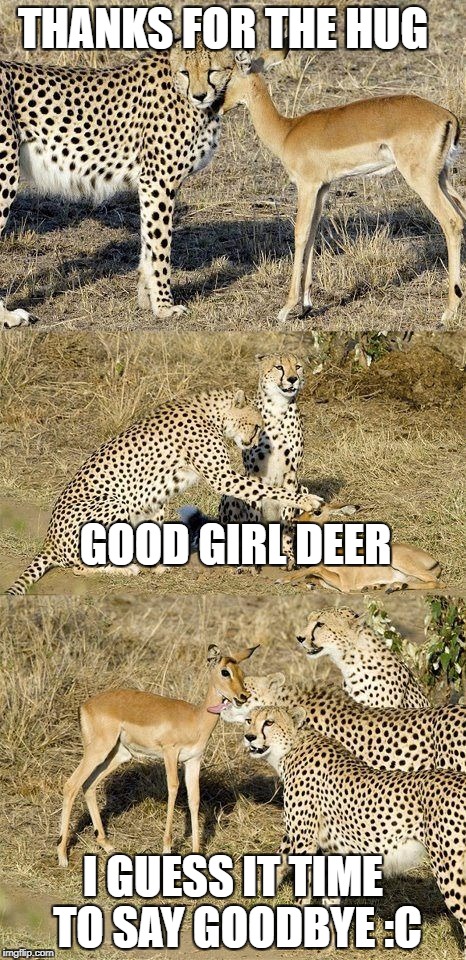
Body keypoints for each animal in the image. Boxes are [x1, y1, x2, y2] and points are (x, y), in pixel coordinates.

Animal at [57, 643, 258, 867]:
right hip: (98, 751)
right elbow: (173, 788)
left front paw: (196, 851)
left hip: (117, 755)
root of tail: (84, 706)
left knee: (89, 786)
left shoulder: (193, 761)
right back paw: (62, 856)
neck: (196, 719)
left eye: (242, 672)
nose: (243, 696)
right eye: (225, 672)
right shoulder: (170, 753)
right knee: (71, 785)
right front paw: (167, 847)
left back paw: (107, 844)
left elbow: (194, 799)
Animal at [221, 49, 466, 324]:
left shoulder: (307, 186)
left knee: (452, 221)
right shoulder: (323, 188)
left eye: (227, 77)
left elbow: (300, 234)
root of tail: (448, 117)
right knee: (462, 213)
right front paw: (306, 305)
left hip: (422, 179)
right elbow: (313, 233)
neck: (286, 132)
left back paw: (448, 311)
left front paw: (286, 309)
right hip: (441, 178)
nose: (217, 107)